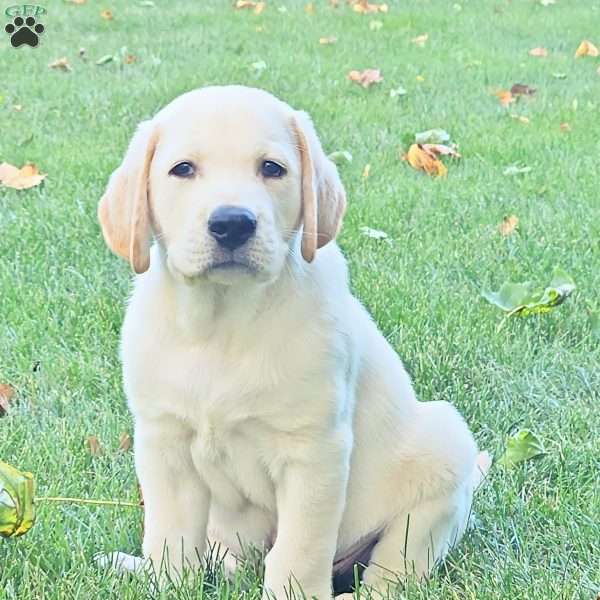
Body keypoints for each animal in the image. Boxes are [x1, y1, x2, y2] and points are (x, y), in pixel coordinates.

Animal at [97, 85, 488, 600]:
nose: (232, 223)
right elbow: (171, 536)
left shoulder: (314, 452)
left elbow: (298, 551)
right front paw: (167, 582)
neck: (223, 324)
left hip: (442, 450)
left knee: (393, 571)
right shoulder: (165, 441)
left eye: (272, 168)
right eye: (182, 169)